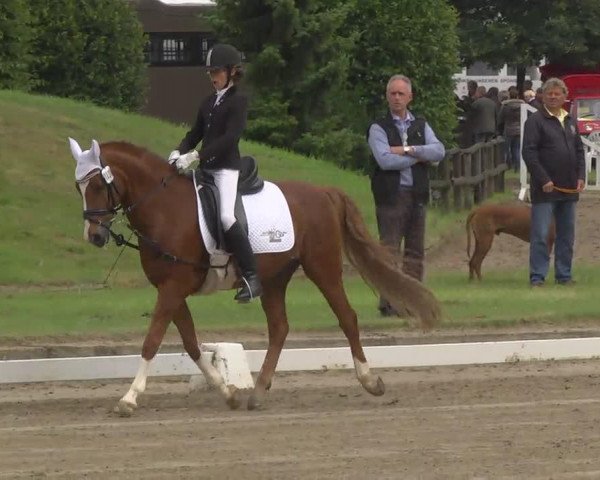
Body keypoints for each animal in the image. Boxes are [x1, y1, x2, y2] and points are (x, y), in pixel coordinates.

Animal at [70, 138, 440, 412]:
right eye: (78, 188)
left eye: (99, 184)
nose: (95, 236)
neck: (164, 208)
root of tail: (323, 191)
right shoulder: (171, 289)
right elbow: (190, 344)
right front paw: (228, 393)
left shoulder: (172, 288)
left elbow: (152, 341)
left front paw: (128, 398)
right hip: (275, 279)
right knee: (279, 328)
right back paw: (258, 392)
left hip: (323, 267)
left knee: (346, 317)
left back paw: (370, 381)